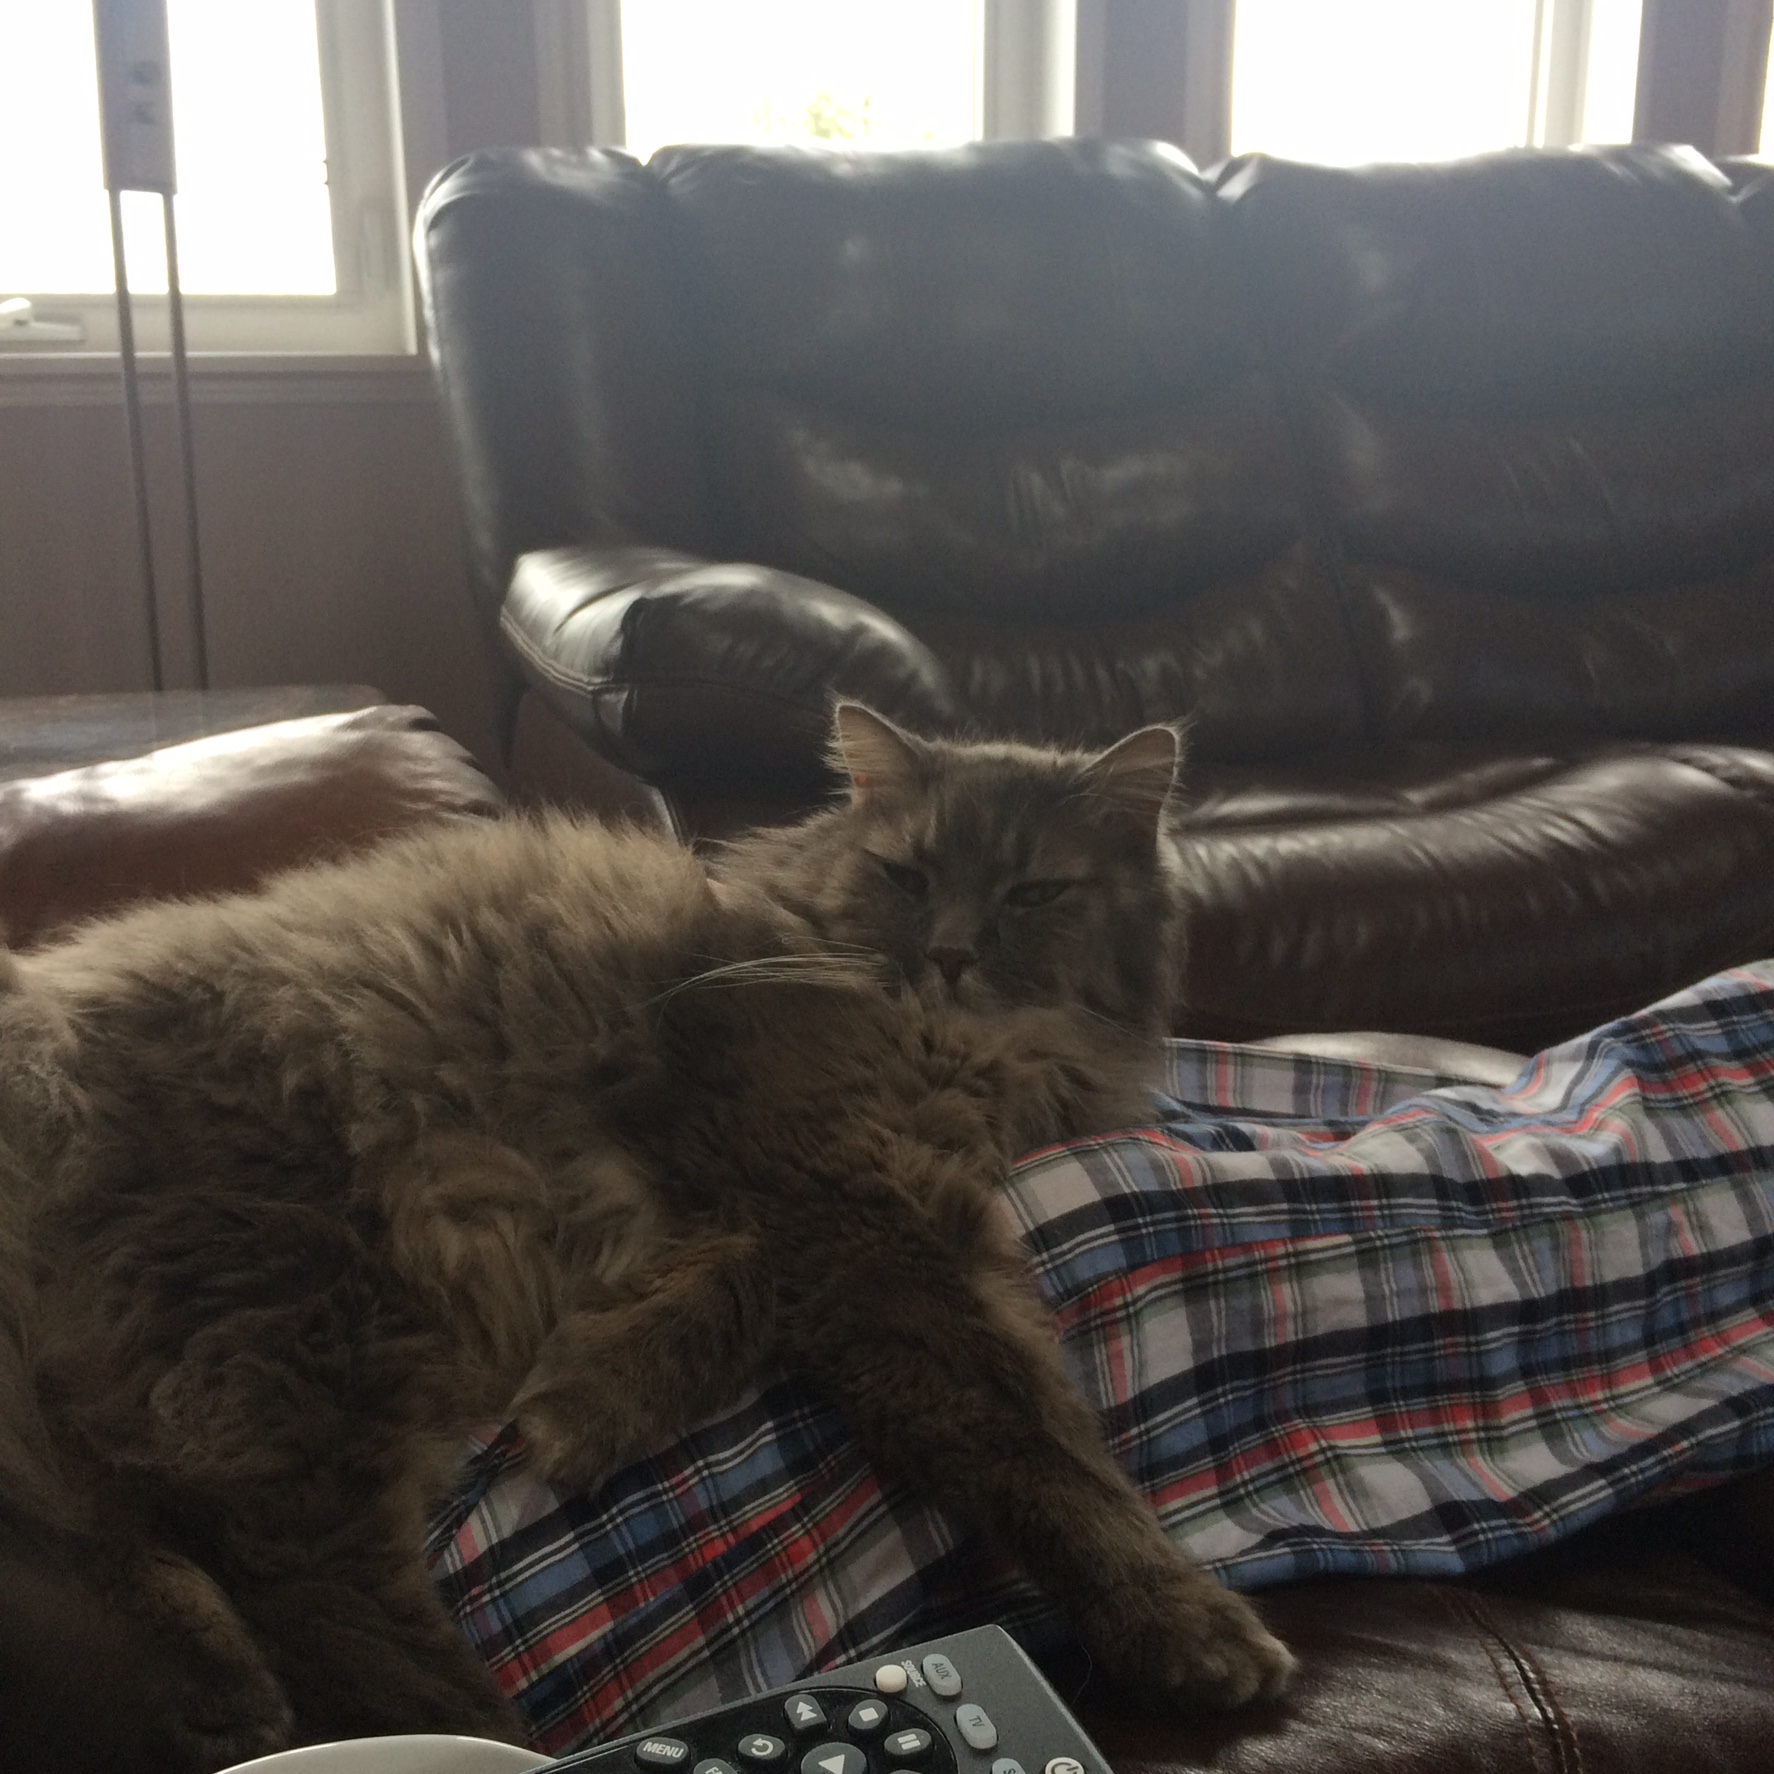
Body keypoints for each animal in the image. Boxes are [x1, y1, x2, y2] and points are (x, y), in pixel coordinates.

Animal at [0, 703, 1293, 1771]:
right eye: (909, 874)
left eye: (1032, 894)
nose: (951, 955)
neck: (954, 1049)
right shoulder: (844, 1204)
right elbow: (1037, 1440)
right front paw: (1188, 1625)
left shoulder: (807, 1198)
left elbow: (708, 1300)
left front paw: (586, 1405)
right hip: (312, 1311)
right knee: (303, 1576)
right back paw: (485, 1738)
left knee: (131, 1542)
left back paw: (225, 1694)